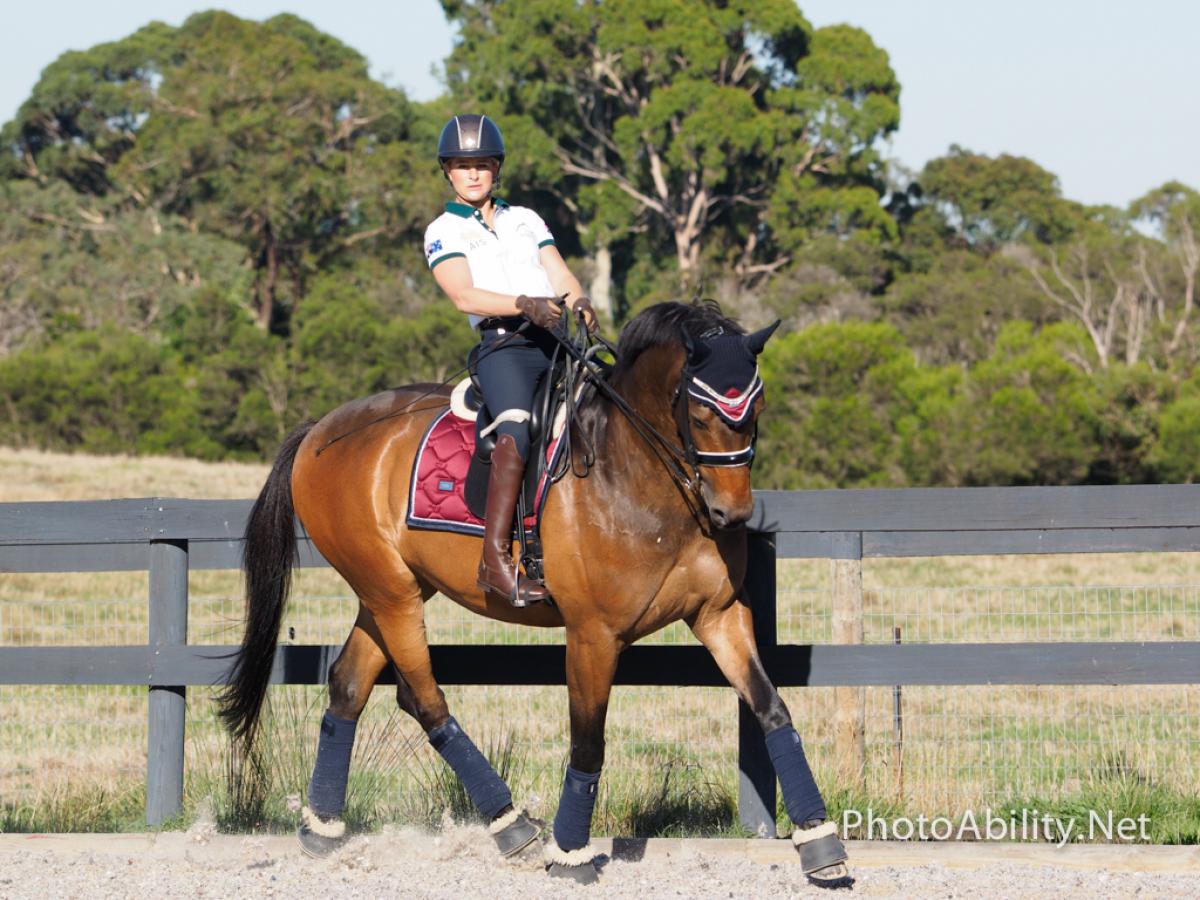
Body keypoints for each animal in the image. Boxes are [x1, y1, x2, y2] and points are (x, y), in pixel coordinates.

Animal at [218, 303, 854, 888]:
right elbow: (588, 742)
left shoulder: (719, 616)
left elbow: (772, 709)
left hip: (389, 591)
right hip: (391, 594)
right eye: (700, 410)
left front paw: (820, 843)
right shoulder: (594, 634)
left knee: (350, 685)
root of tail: (319, 430)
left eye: (756, 408)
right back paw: (511, 825)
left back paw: (322, 827)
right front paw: (570, 854)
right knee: (423, 700)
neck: (639, 480)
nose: (733, 513)